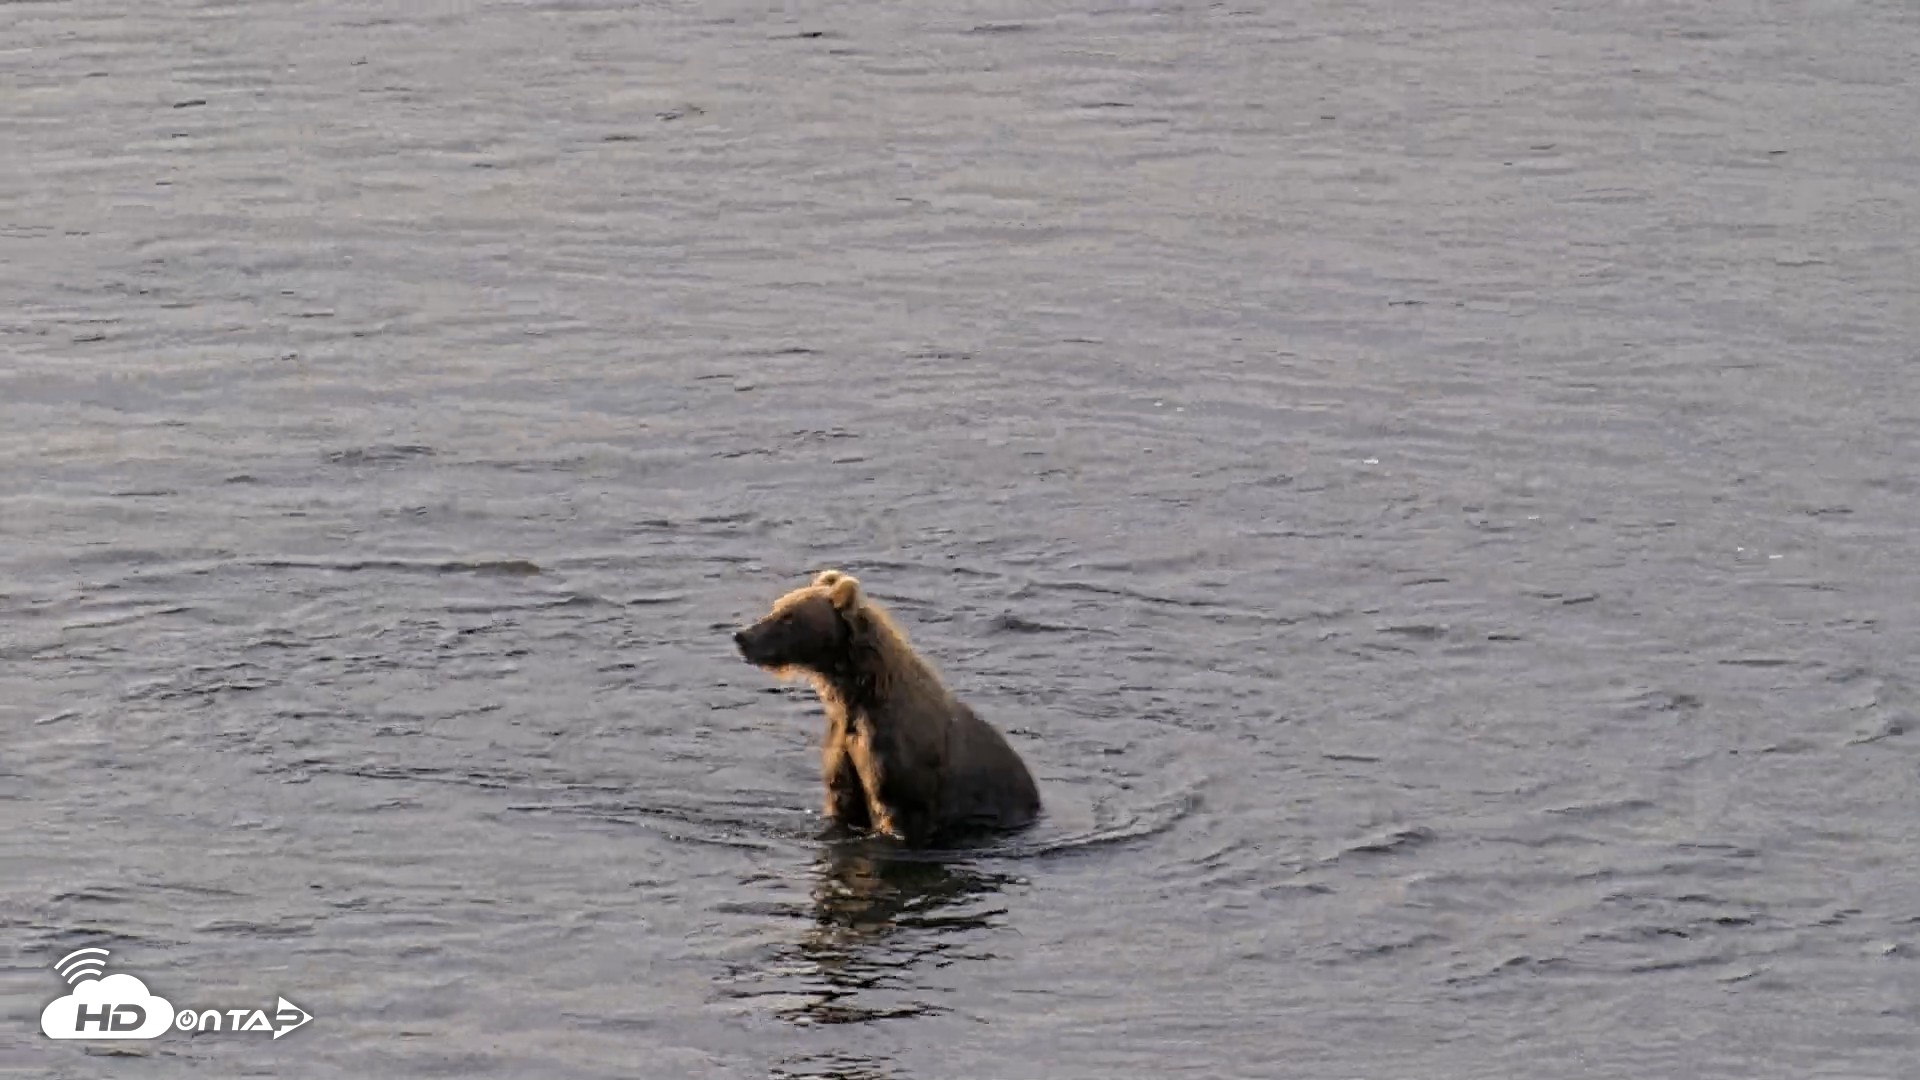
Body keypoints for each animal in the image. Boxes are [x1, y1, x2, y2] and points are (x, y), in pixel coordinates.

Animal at [732, 569, 1042, 848]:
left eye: (789, 616)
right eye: (777, 605)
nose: (742, 636)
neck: (856, 696)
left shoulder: (898, 761)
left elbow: (895, 808)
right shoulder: (844, 742)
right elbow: (841, 799)